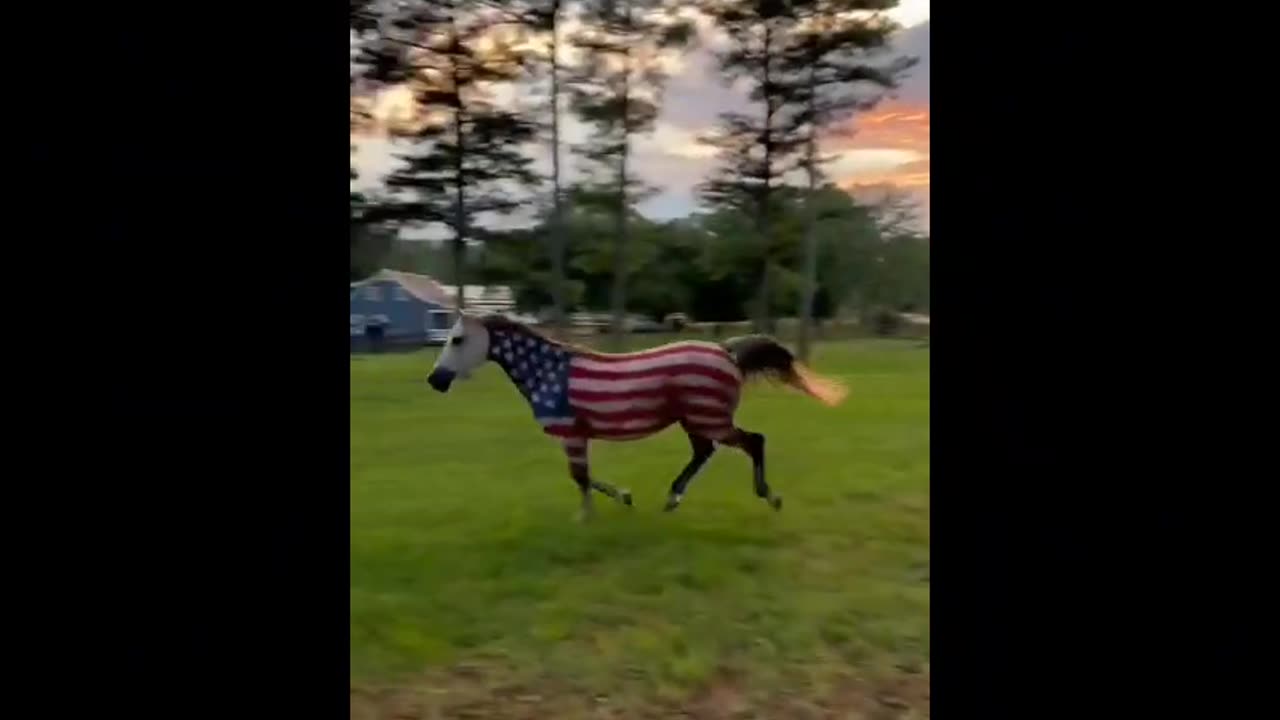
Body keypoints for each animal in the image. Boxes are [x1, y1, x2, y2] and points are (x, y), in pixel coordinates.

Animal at [424, 312, 844, 515]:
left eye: (457, 339)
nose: (435, 380)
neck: (546, 370)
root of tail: (726, 351)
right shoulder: (578, 435)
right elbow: (583, 477)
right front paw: (620, 500)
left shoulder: (570, 433)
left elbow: (580, 478)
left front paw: (591, 515)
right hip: (695, 420)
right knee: (704, 452)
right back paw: (672, 499)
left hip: (710, 418)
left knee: (753, 441)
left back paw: (769, 497)